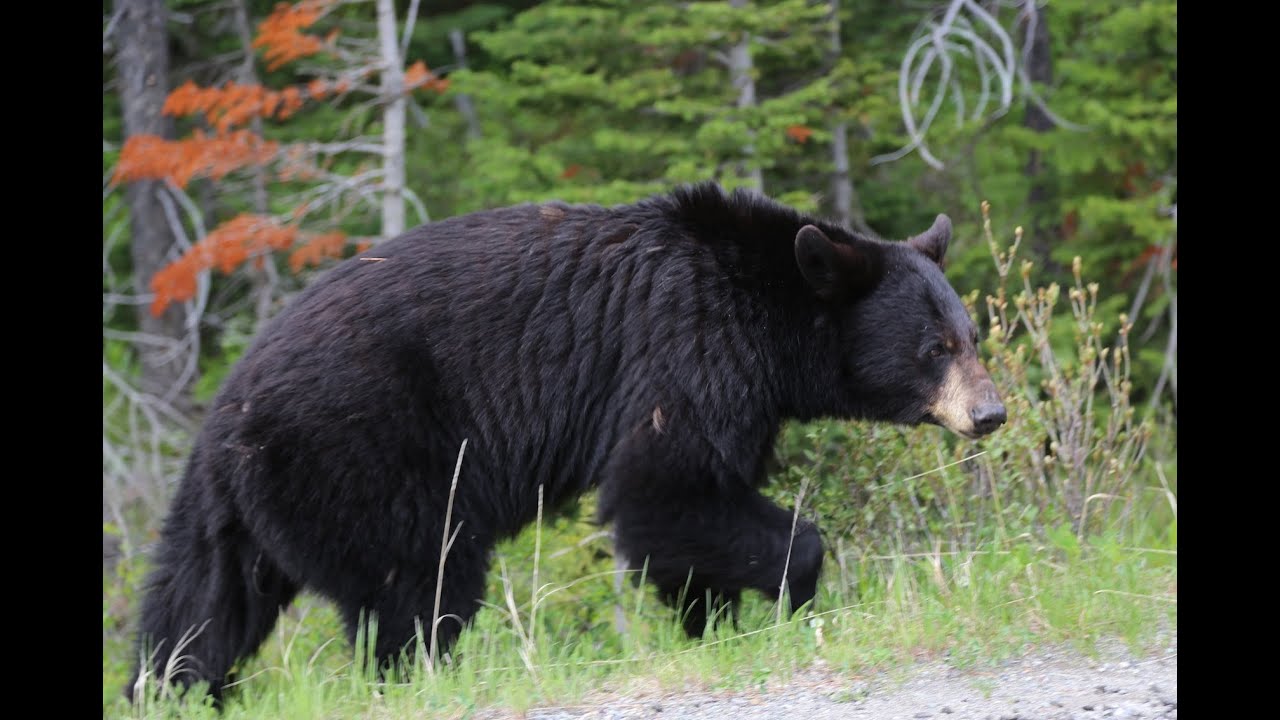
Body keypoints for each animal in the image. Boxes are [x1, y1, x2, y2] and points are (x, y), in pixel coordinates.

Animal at [127, 182, 1005, 703]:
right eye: (934, 349)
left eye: (971, 335)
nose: (991, 413)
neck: (769, 310)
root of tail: (225, 413)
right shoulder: (686, 348)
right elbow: (663, 488)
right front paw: (794, 591)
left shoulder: (743, 392)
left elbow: (694, 511)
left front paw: (709, 623)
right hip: (362, 453)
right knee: (421, 585)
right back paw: (425, 681)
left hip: (238, 512)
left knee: (197, 611)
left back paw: (171, 692)